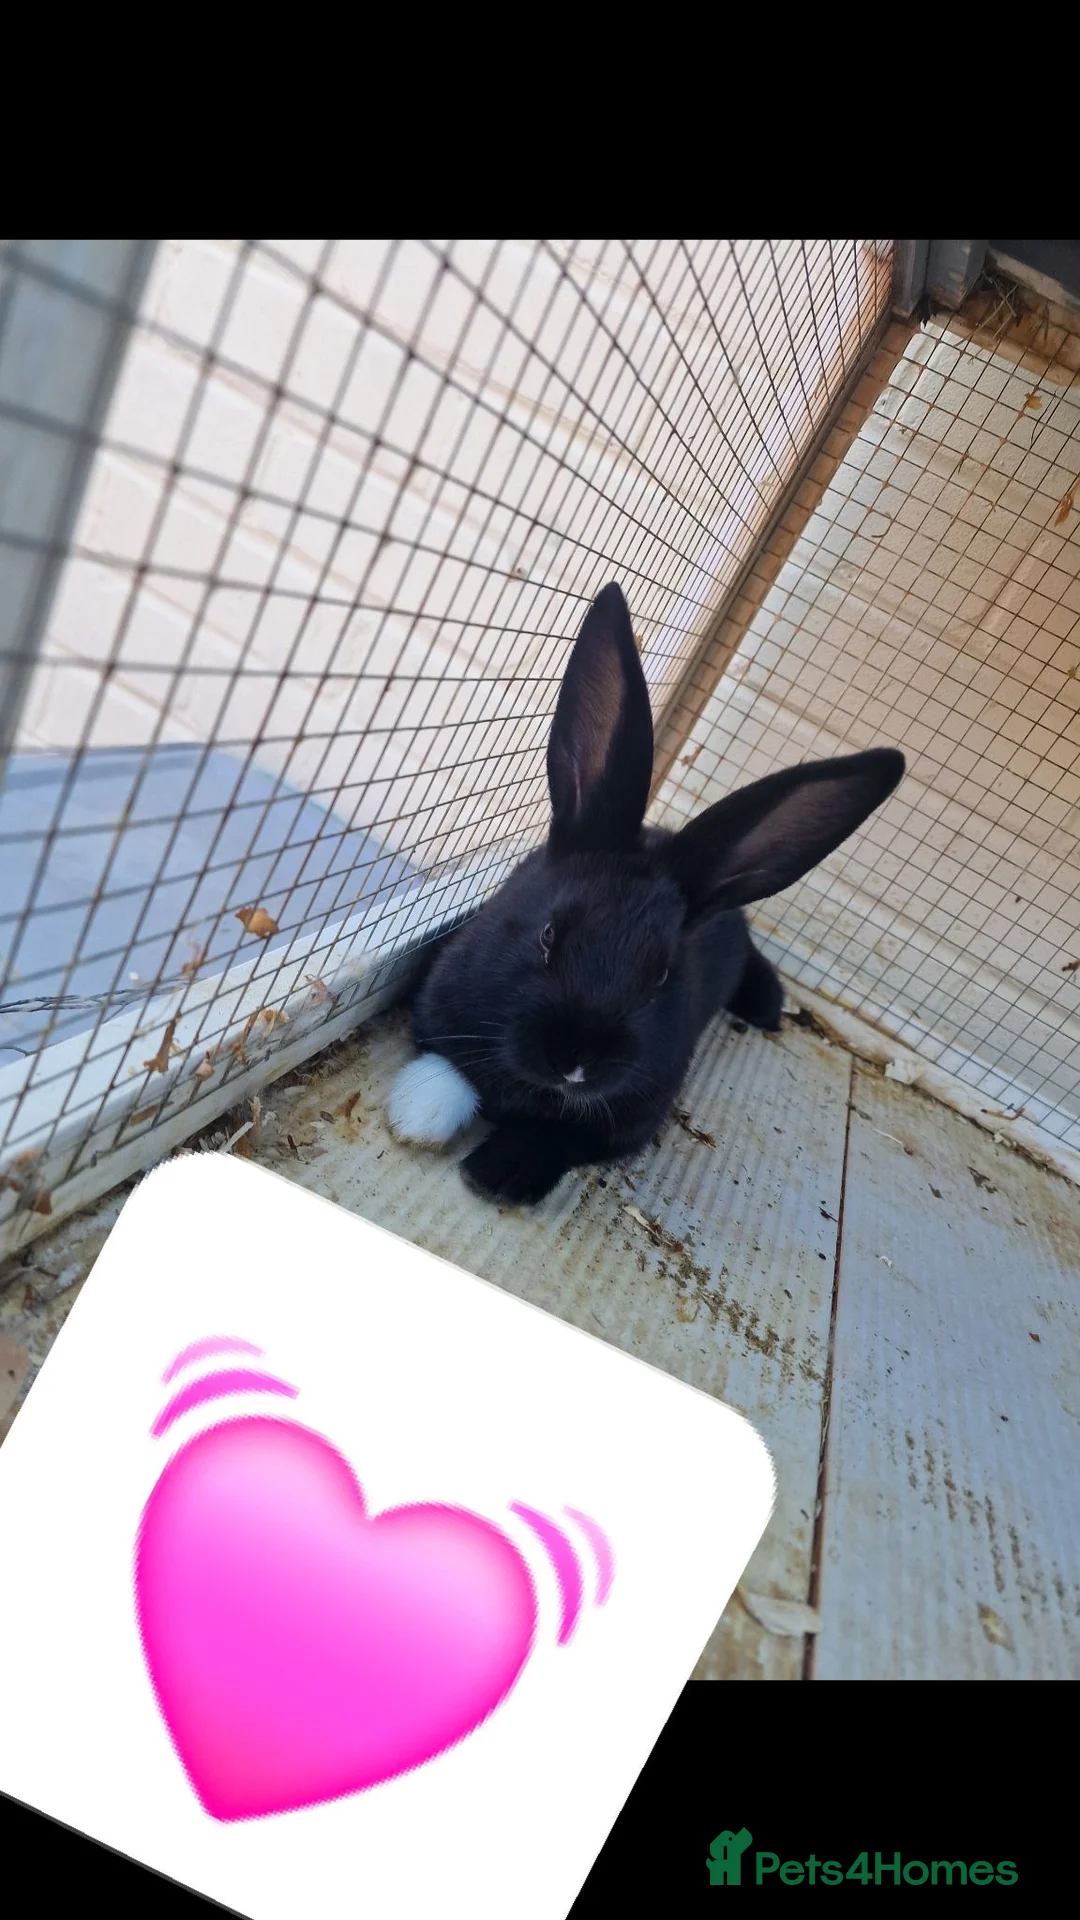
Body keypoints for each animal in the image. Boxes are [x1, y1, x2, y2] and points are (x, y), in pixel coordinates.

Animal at [387, 582, 904, 1206]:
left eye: (661, 975)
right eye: (548, 934)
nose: (575, 1063)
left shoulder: (631, 1118)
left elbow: (558, 1139)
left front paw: (497, 1174)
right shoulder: (435, 1013)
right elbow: (446, 1070)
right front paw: (421, 1114)